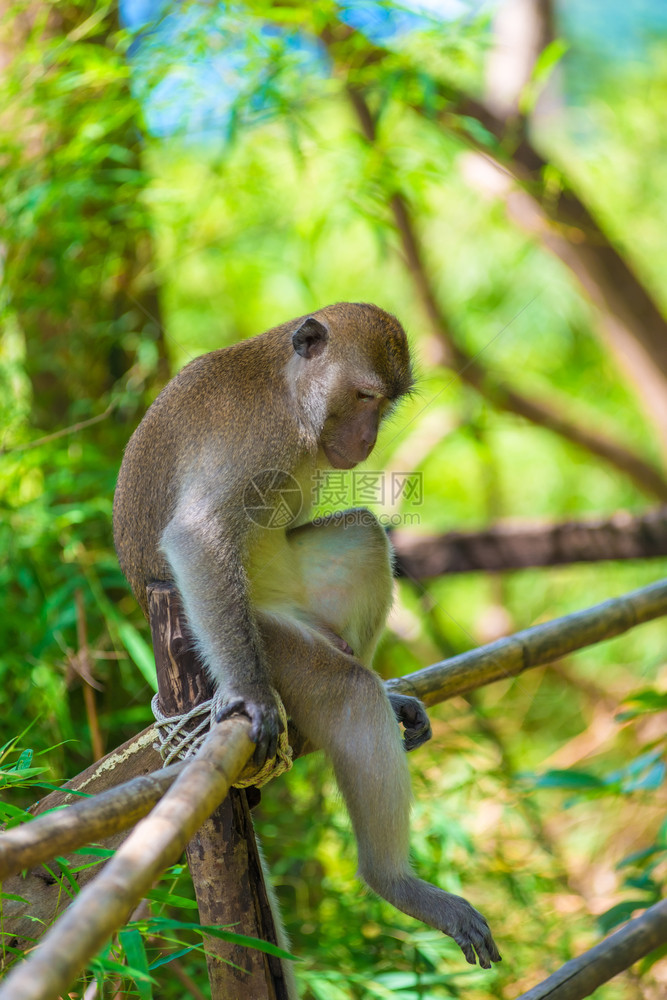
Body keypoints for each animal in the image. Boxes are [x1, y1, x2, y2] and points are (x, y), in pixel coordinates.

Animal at [113, 302, 500, 968]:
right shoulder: (251, 438)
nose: (367, 440)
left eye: (386, 403)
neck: (291, 399)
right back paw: (393, 881)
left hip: (297, 593)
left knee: (364, 534)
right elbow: (197, 537)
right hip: (262, 635)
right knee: (344, 689)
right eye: (364, 396)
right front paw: (250, 696)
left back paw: (382, 691)